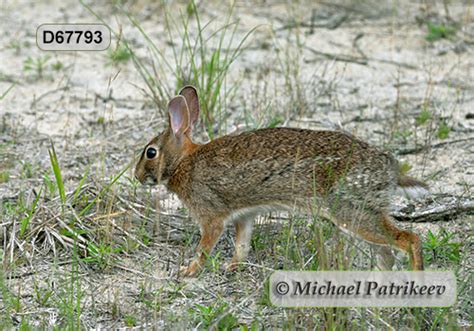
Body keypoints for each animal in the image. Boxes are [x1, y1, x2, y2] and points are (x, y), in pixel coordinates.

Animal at [135, 86, 428, 278]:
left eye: (151, 152)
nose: (137, 176)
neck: (183, 162)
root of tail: (390, 170)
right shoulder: (244, 216)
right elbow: (242, 244)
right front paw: (232, 267)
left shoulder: (211, 216)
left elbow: (204, 248)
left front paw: (188, 271)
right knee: (388, 253)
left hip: (351, 211)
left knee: (409, 239)